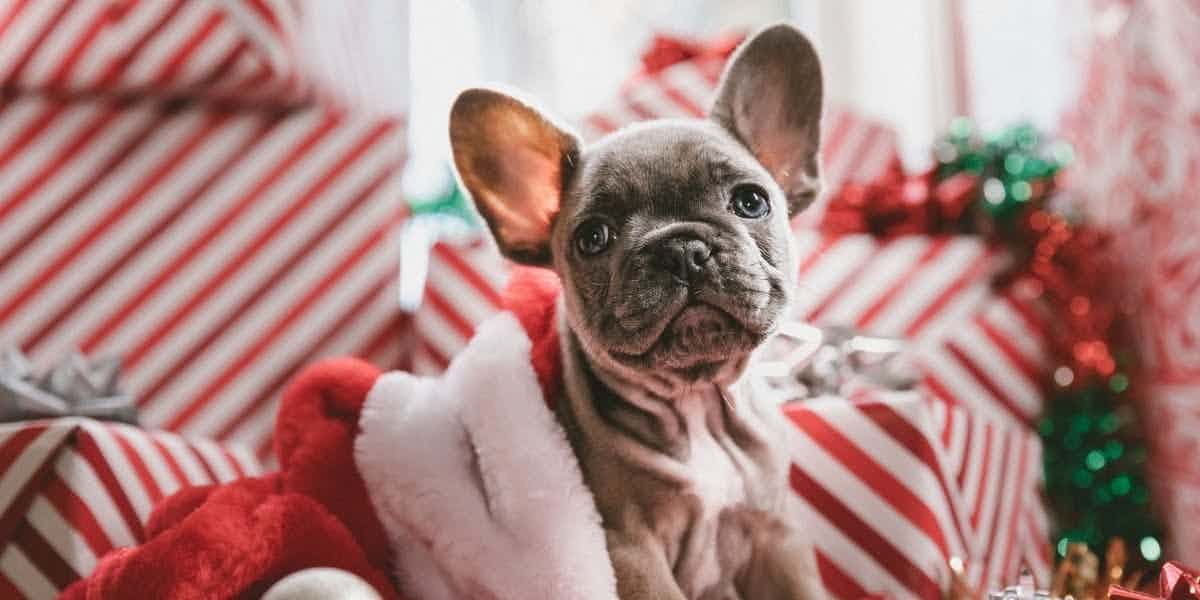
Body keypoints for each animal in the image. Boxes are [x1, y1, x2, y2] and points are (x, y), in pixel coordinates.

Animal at [448, 23, 825, 600]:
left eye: (751, 202)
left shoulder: (775, 535)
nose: (681, 249)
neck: (696, 402)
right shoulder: (630, 551)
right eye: (592, 238)